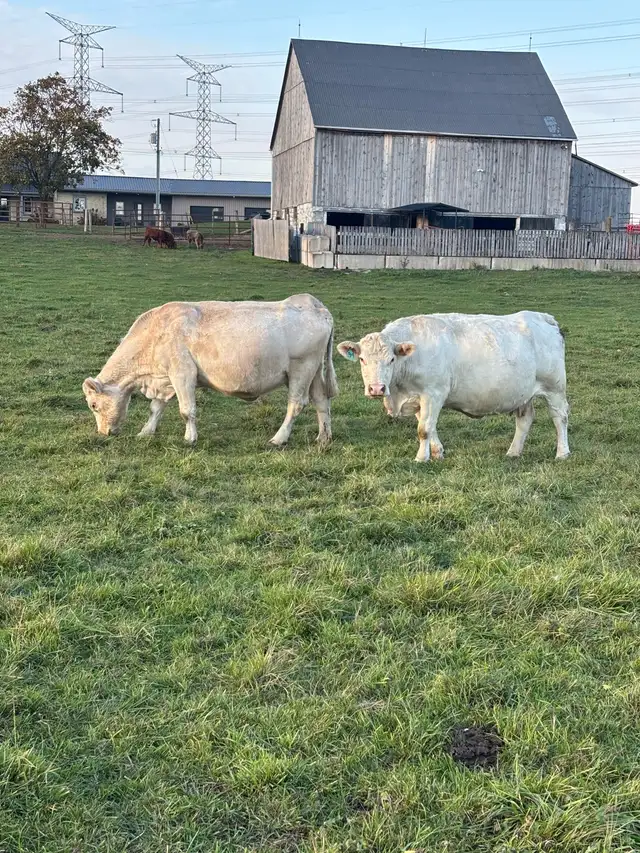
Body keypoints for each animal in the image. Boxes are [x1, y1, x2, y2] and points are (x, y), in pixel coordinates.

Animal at [82, 294, 338, 448]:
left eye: (94, 405)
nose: (104, 433)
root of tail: (316, 306)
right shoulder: (166, 379)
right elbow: (156, 408)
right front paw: (146, 432)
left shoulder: (182, 373)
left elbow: (187, 410)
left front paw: (190, 438)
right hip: (314, 371)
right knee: (321, 401)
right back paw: (323, 437)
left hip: (301, 369)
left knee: (296, 404)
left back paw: (278, 438)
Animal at [338, 311, 569, 462]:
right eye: (362, 359)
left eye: (391, 360)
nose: (376, 388)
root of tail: (542, 317)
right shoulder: (419, 398)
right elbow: (428, 426)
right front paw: (437, 452)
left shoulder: (433, 392)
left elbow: (423, 429)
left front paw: (421, 458)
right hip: (523, 393)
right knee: (524, 420)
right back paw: (513, 452)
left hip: (555, 388)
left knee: (560, 418)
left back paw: (562, 453)